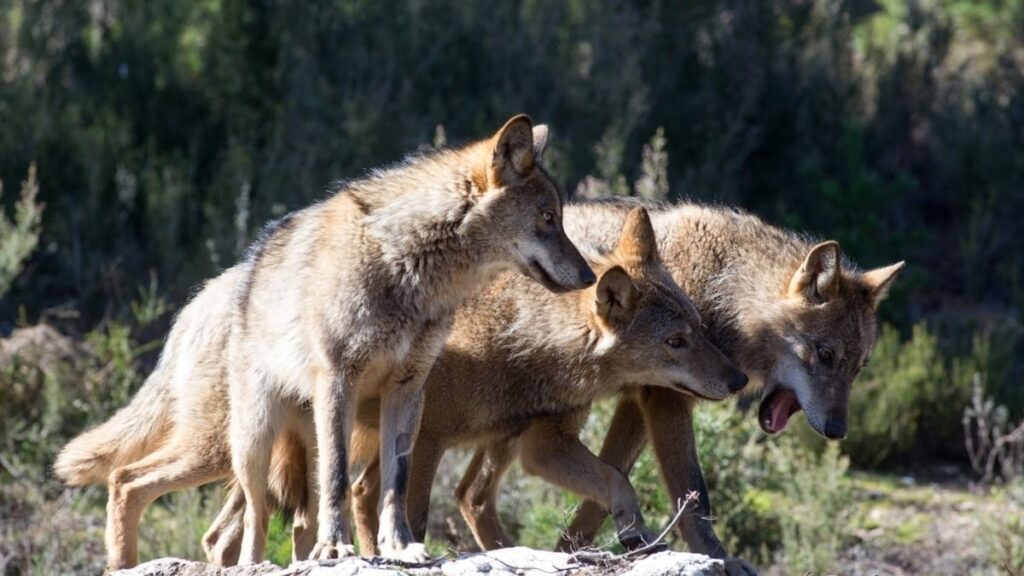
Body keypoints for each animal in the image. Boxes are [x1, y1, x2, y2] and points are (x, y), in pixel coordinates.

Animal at [55, 114, 595, 570]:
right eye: (548, 218)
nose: (591, 276)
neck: (407, 267)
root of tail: (199, 301)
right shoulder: (340, 380)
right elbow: (339, 480)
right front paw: (336, 549)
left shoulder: (408, 391)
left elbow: (395, 484)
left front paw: (400, 547)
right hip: (242, 444)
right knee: (155, 490)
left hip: (285, 443)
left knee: (269, 521)